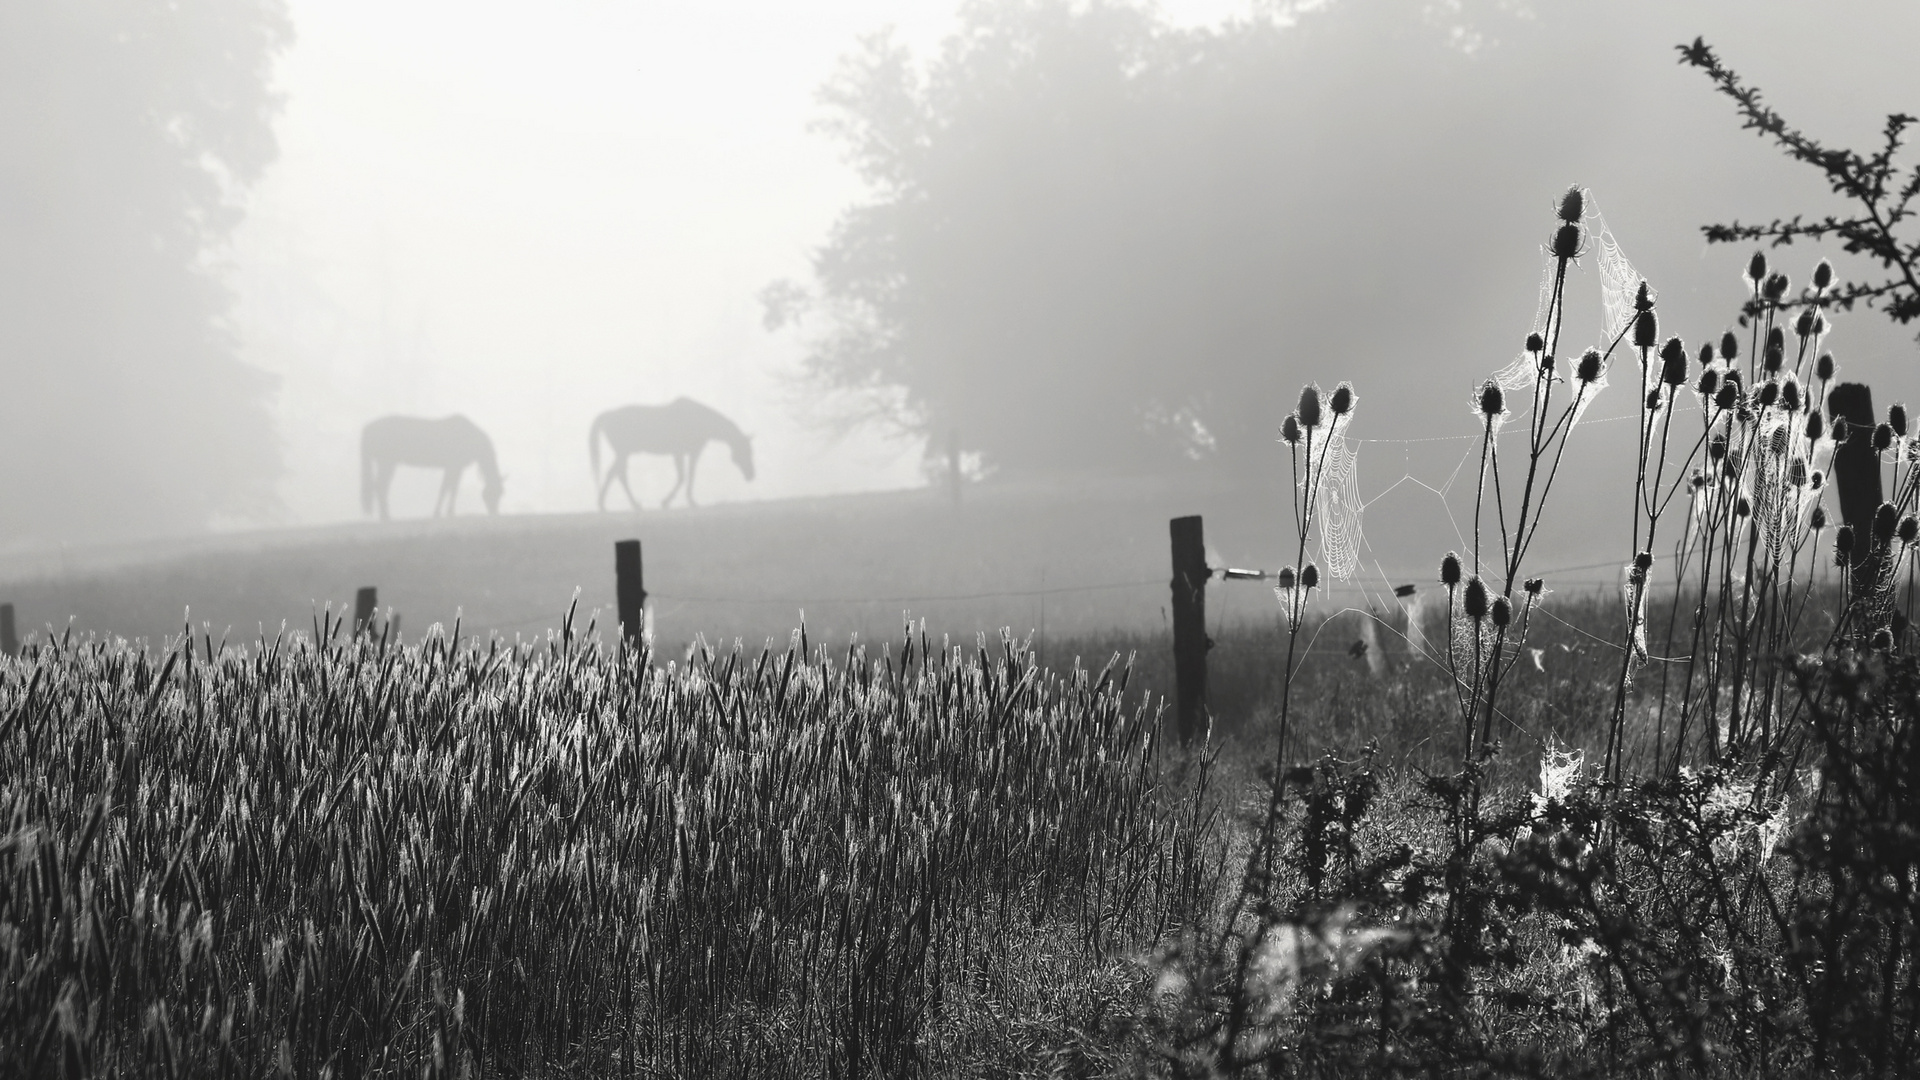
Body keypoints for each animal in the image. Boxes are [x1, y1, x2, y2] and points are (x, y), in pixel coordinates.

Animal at [357, 411, 499, 518]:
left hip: (387, 463)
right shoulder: (452, 466)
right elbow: (445, 488)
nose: (494, 513)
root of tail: (367, 428)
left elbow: (452, 489)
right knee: (380, 486)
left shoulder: (457, 468)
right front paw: (439, 513)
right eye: (493, 493)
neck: (470, 438)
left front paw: (449, 512)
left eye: (501, 493)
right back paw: (386, 516)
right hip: (386, 462)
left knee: (380, 486)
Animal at [587, 397, 752, 511]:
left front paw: (690, 501)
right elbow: (682, 477)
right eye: (745, 451)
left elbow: (690, 475)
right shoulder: (680, 453)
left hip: (623, 453)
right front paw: (667, 501)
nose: (752, 474)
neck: (699, 420)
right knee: (619, 474)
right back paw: (632, 504)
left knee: (613, 473)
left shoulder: (691, 453)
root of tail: (609, 415)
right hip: (623, 453)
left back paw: (604, 504)